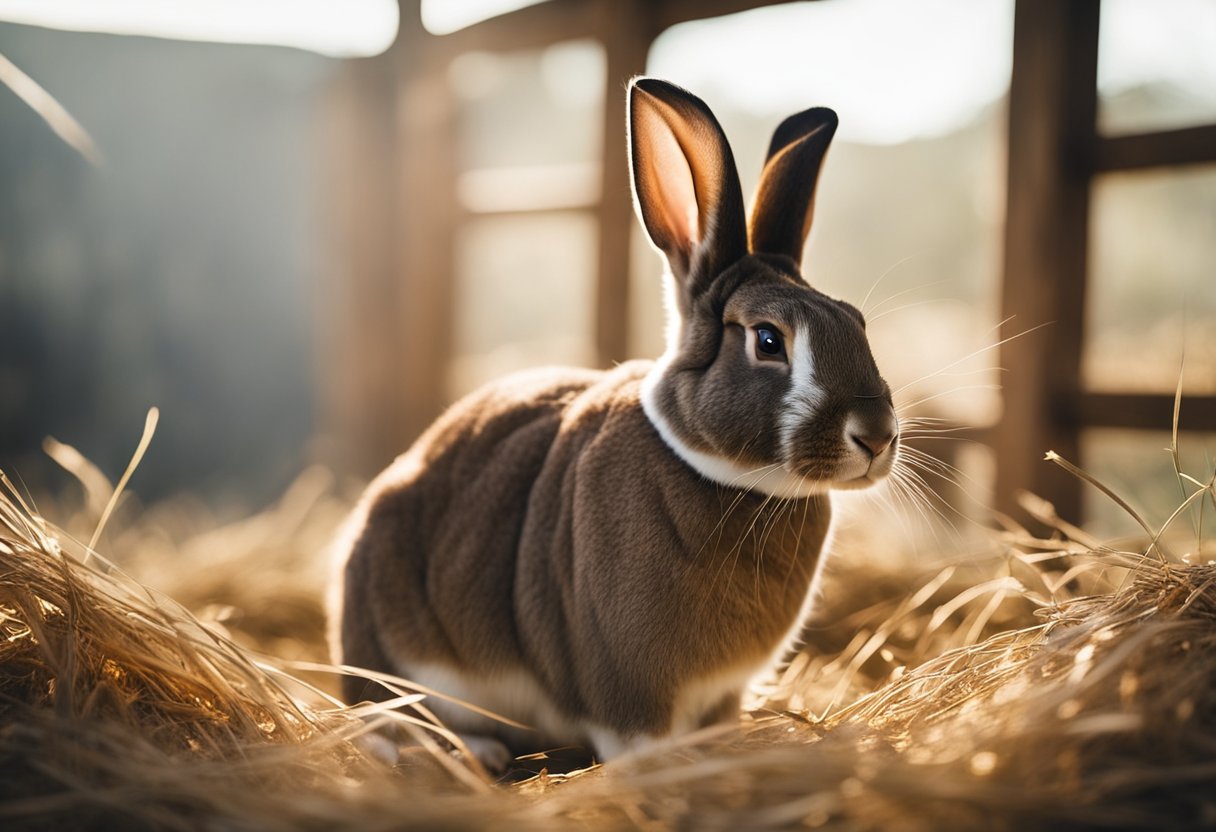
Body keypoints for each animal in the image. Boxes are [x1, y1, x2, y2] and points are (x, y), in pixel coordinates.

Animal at [328, 76, 899, 768]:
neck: (730, 477)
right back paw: (474, 751)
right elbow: (636, 741)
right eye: (768, 340)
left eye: (856, 322)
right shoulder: (628, 686)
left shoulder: (723, 692)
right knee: (384, 720)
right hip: (396, 649)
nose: (877, 434)